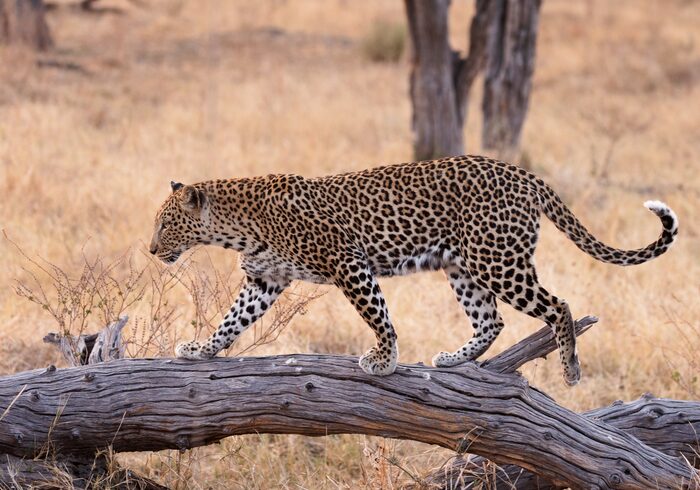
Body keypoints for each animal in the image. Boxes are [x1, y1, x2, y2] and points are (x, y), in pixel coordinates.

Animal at [149, 155, 678, 385]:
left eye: (165, 223)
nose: (151, 249)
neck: (236, 227)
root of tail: (522, 172)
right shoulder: (265, 281)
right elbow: (230, 320)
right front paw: (200, 350)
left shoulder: (347, 262)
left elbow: (377, 315)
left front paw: (383, 359)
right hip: (463, 265)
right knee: (491, 320)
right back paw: (454, 360)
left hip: (497, 260)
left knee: (558, 305)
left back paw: (570, 369)